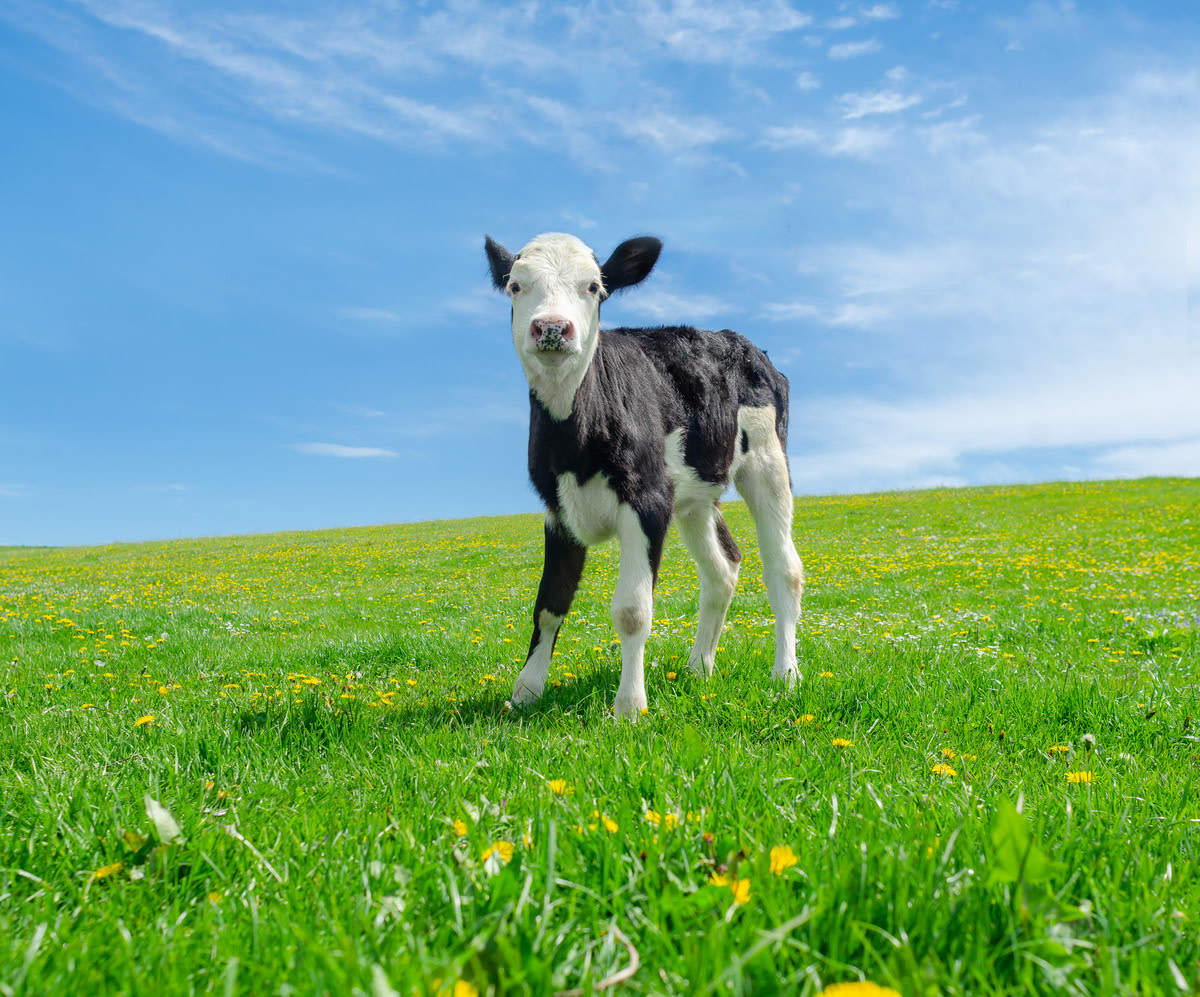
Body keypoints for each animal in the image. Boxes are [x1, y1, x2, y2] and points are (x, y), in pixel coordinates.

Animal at [482, 233, 801, 719]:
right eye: (515, 286)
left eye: (594, 287)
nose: (552, 327)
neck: (576, 444)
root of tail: (739, 342)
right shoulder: (558, 509)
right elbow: (549, 604)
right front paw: (525, 693)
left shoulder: (646, 501)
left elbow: (632, 610)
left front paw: (629, 707)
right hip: (692, 495)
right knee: (722, 568)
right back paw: (698, 668)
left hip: (767, 462)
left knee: (784, 569)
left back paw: (785, 675)